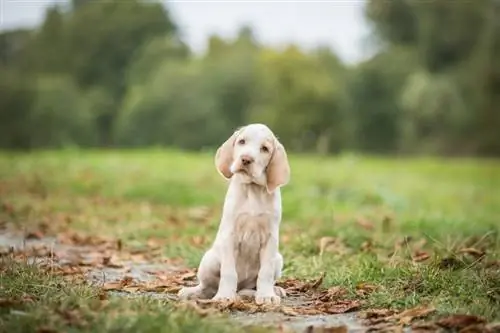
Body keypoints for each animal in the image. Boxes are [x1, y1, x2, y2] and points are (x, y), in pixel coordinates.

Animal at [179, 122, 290, 304]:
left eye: (265, 148)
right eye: (242, 141)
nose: (246, 159)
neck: (252, 191)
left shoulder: (270, 238)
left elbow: (265, 273)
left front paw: (267, 295)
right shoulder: (230, 235)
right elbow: (229, 272)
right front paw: (224, 296)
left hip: (278, 260)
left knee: (251, 286)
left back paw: (271, 290)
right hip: (209, 260)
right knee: (208, 287)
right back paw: (192, 292)